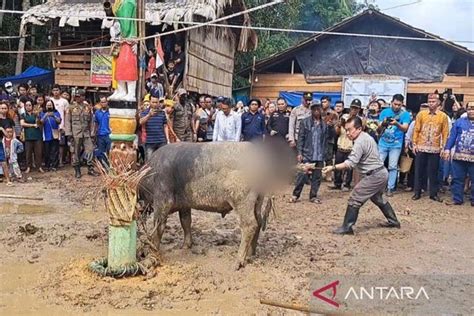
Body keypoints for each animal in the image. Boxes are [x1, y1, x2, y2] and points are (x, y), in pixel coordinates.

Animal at [137, 142, 280, 268]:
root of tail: (259, 158)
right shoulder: (184, 205)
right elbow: (186, 222)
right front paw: (185, 246)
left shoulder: (162, 200)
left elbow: (159, 226)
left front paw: (154, 249)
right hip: (258, 201)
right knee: (259, 222)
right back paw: (251, 254)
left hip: (242, 200)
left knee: (250, 225)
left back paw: (237, 262)